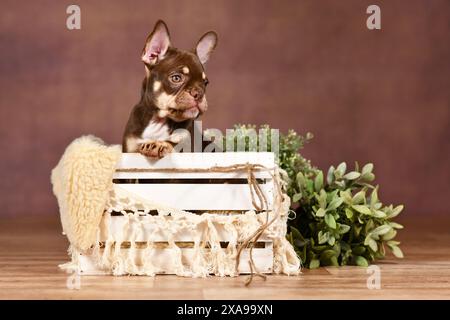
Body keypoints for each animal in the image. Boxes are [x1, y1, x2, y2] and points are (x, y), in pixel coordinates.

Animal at [121, 20, 216, 158]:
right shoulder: (130, 148)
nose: (199, 93)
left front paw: (157, 144)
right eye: (176, 78)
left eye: (205, 83)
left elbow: (173, 144)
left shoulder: (187, 143)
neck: (158, 120)